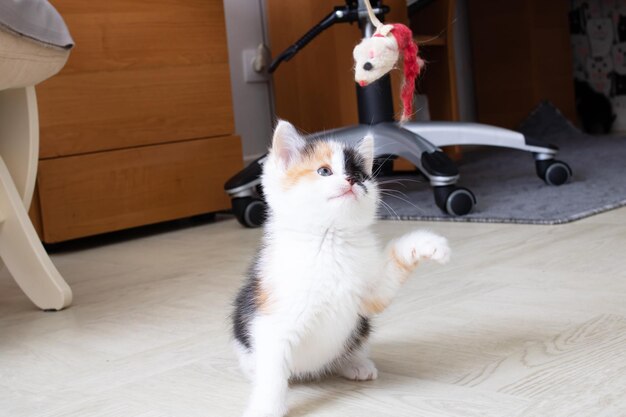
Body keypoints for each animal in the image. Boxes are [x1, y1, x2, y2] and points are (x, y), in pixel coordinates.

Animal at [232, 120, 446, 416]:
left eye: (360, 174)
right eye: (324, 171)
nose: (353, 180)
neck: (329, 242)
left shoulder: (370, 295)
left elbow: (392, 267)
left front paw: (427, 244)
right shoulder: (271, 320)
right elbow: (273, 372)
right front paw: (266, 408)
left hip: (360, 329)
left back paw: (354, 364)